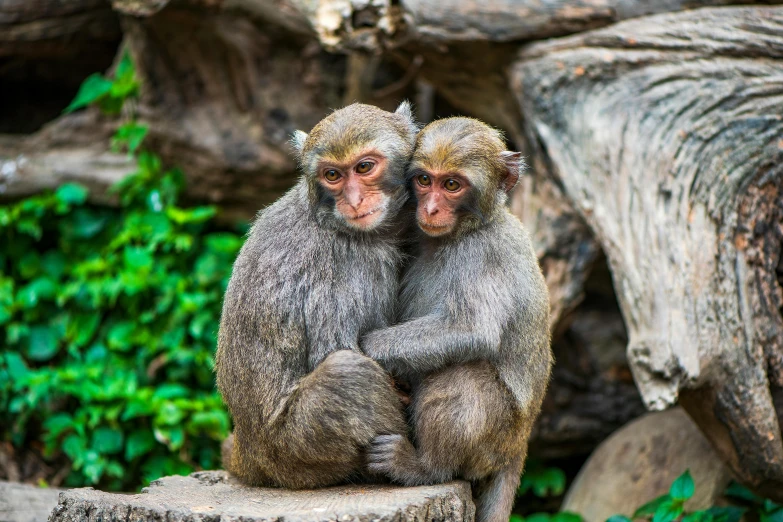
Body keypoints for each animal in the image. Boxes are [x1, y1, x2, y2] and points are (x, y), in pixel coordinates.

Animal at [214, 101, 420, 488]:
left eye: (364, 167)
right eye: (332, 175)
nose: (354, 201)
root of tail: (250, 452)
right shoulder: (346, 266)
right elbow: (339, 348)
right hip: (297, 450)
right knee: (347, 373)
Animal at [360, 116, 552, 520]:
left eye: (451, 185)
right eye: (424, 180)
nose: (431, 209)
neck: (466, 230)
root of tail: (520, 444)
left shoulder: (481, 254)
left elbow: (471, 331)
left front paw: (366, 348)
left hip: (496, 439)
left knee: (462, 373)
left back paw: (426, 466)